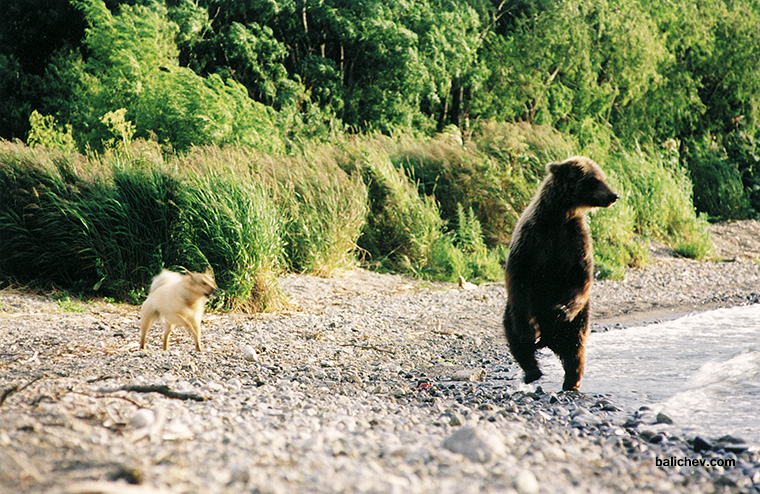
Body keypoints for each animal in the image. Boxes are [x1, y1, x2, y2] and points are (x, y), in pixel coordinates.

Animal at [504, 156, 616, 392]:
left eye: (602, 177)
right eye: (594, 180)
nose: (613, 195)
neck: (559, 215)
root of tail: (549, 340)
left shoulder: (576, 239)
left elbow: (581, 276)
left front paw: (561, 310)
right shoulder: (531, 236)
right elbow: (518, 273)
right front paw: (531, 330)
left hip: (578, 321)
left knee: (575, 349)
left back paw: (571, 381)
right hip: (518, 310)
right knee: (516, 335)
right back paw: (532, 370)